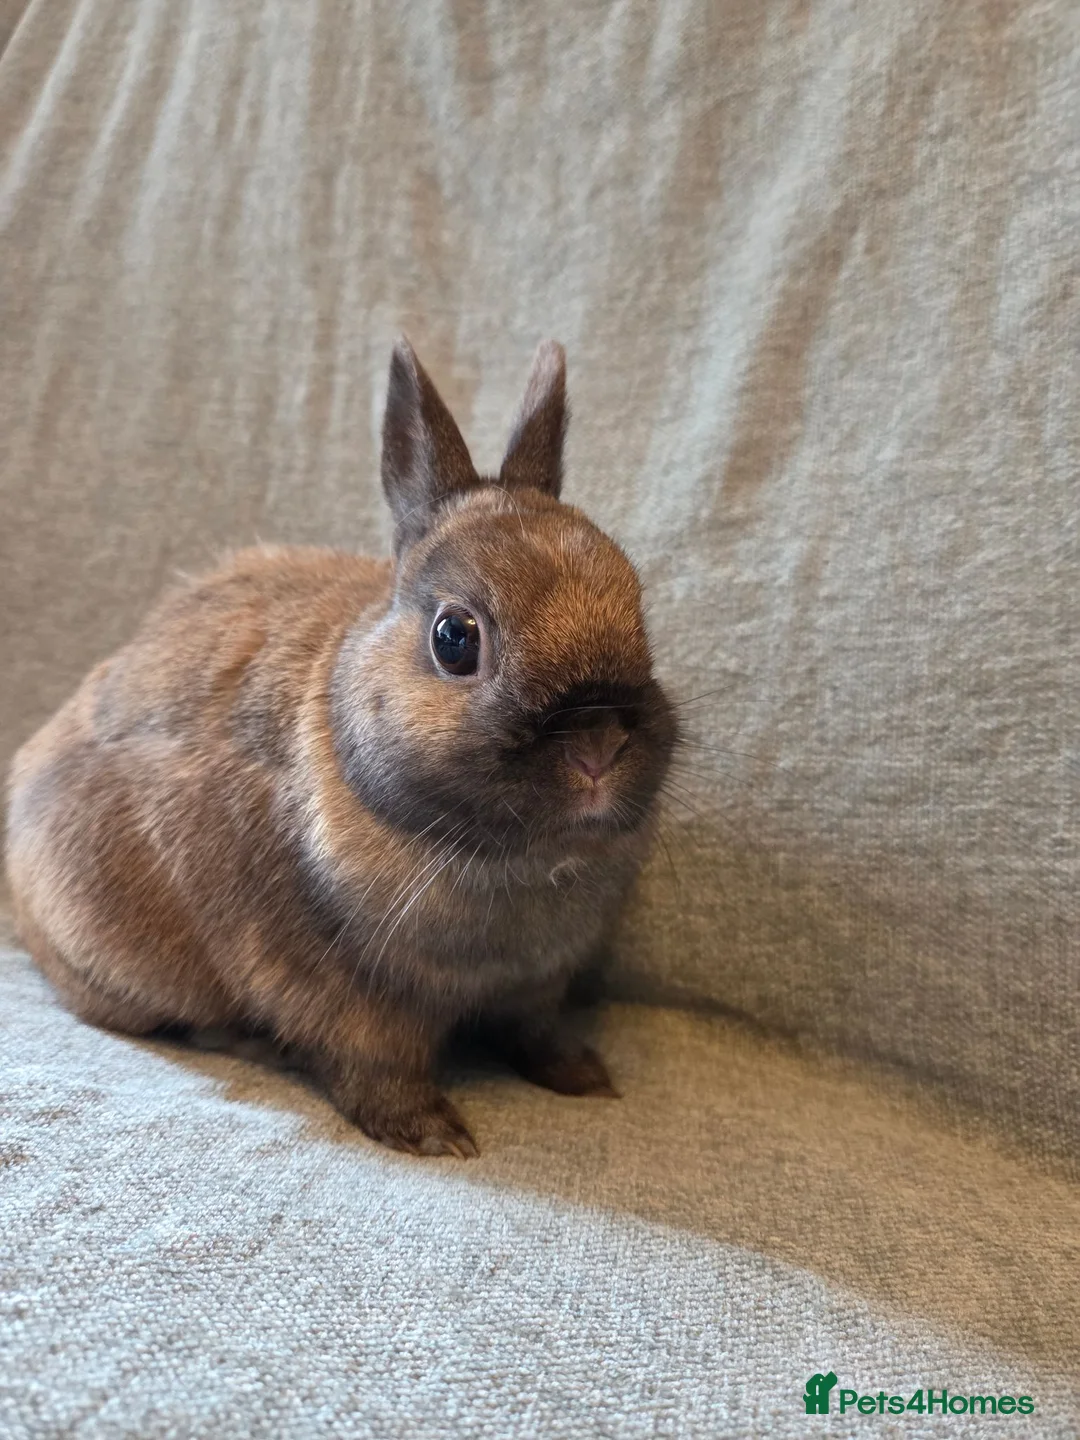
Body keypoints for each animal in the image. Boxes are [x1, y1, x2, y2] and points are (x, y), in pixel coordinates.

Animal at [5, 338, 677, 1157]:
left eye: (639, 610)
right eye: (455, 639)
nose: (598, 746)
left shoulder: (539, 987)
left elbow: (539, 1034)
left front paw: (585, 1078)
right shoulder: (347, 999)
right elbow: (378, 1067)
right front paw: (434, 1136)